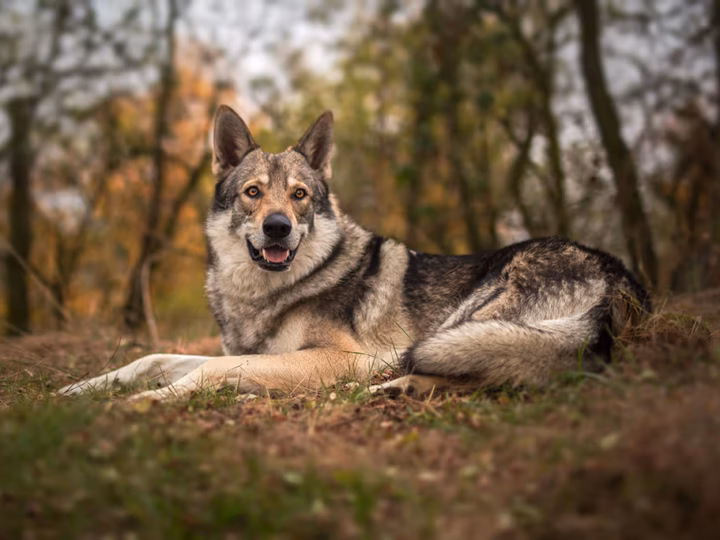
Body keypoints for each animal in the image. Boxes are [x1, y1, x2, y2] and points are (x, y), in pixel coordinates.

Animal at [60, 106, 650, 400]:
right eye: (253, 192)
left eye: (299, 195)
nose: (277, 228)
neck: (266, 294)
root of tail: (620, 278)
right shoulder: (249, 352)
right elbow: (154, 358)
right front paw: (76, 389)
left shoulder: (341, 357)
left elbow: (209, 373)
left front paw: (146, 402)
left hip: (463, 324)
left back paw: (387, 388)